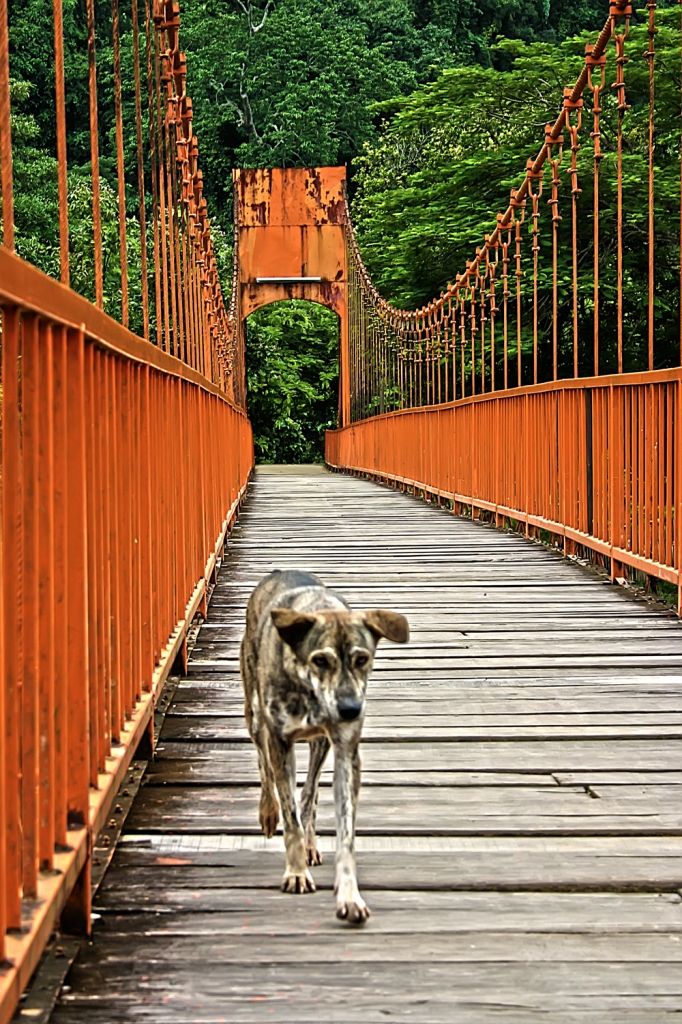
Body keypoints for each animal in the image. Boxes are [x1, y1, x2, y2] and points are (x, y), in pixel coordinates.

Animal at [240, 573, 409, 925]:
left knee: (309, 792)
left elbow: (343, 832)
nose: (350, 710)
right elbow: (289, 815)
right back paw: (268, 813)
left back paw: (310, 842)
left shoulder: (346, 751)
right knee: (266, 770)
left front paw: (349, 896)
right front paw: (296, 873)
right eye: (320, 659)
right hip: (255, 716)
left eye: (362, 659)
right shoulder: (278, 740)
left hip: (320, 744)